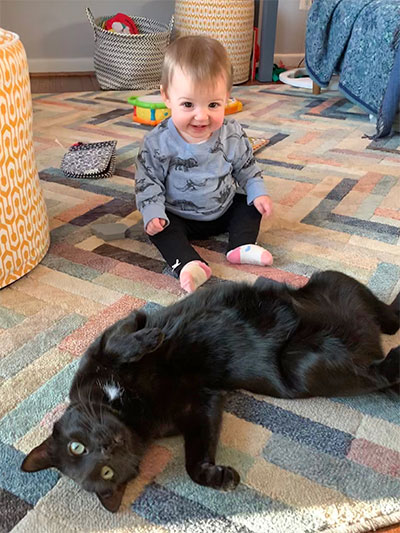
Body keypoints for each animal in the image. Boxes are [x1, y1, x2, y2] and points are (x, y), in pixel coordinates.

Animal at [21, 270, 400, 512]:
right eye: (106, 473)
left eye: (77, 445)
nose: (107, 447)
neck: (128, 410)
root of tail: (369, 341)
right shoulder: (201, 407)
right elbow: (194, 462)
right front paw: (217, 477)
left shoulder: (114, 333)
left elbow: (119, 344)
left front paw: (150, 339)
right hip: (303, 368)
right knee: (379, 371)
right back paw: (392, 362)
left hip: (331, 280)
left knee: (389, 318)